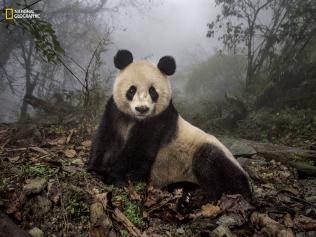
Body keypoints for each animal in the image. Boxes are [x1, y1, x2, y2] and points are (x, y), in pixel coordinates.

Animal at [87, 49, 252, 200]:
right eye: (132, 90)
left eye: (153, 91)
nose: (142, 109)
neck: (135, 119)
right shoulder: (114, 113)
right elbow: (106, 140)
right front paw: (95, 169)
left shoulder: (158, 121)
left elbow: (138, 152)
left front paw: (115, 177)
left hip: (208, 152)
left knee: (214, 167)